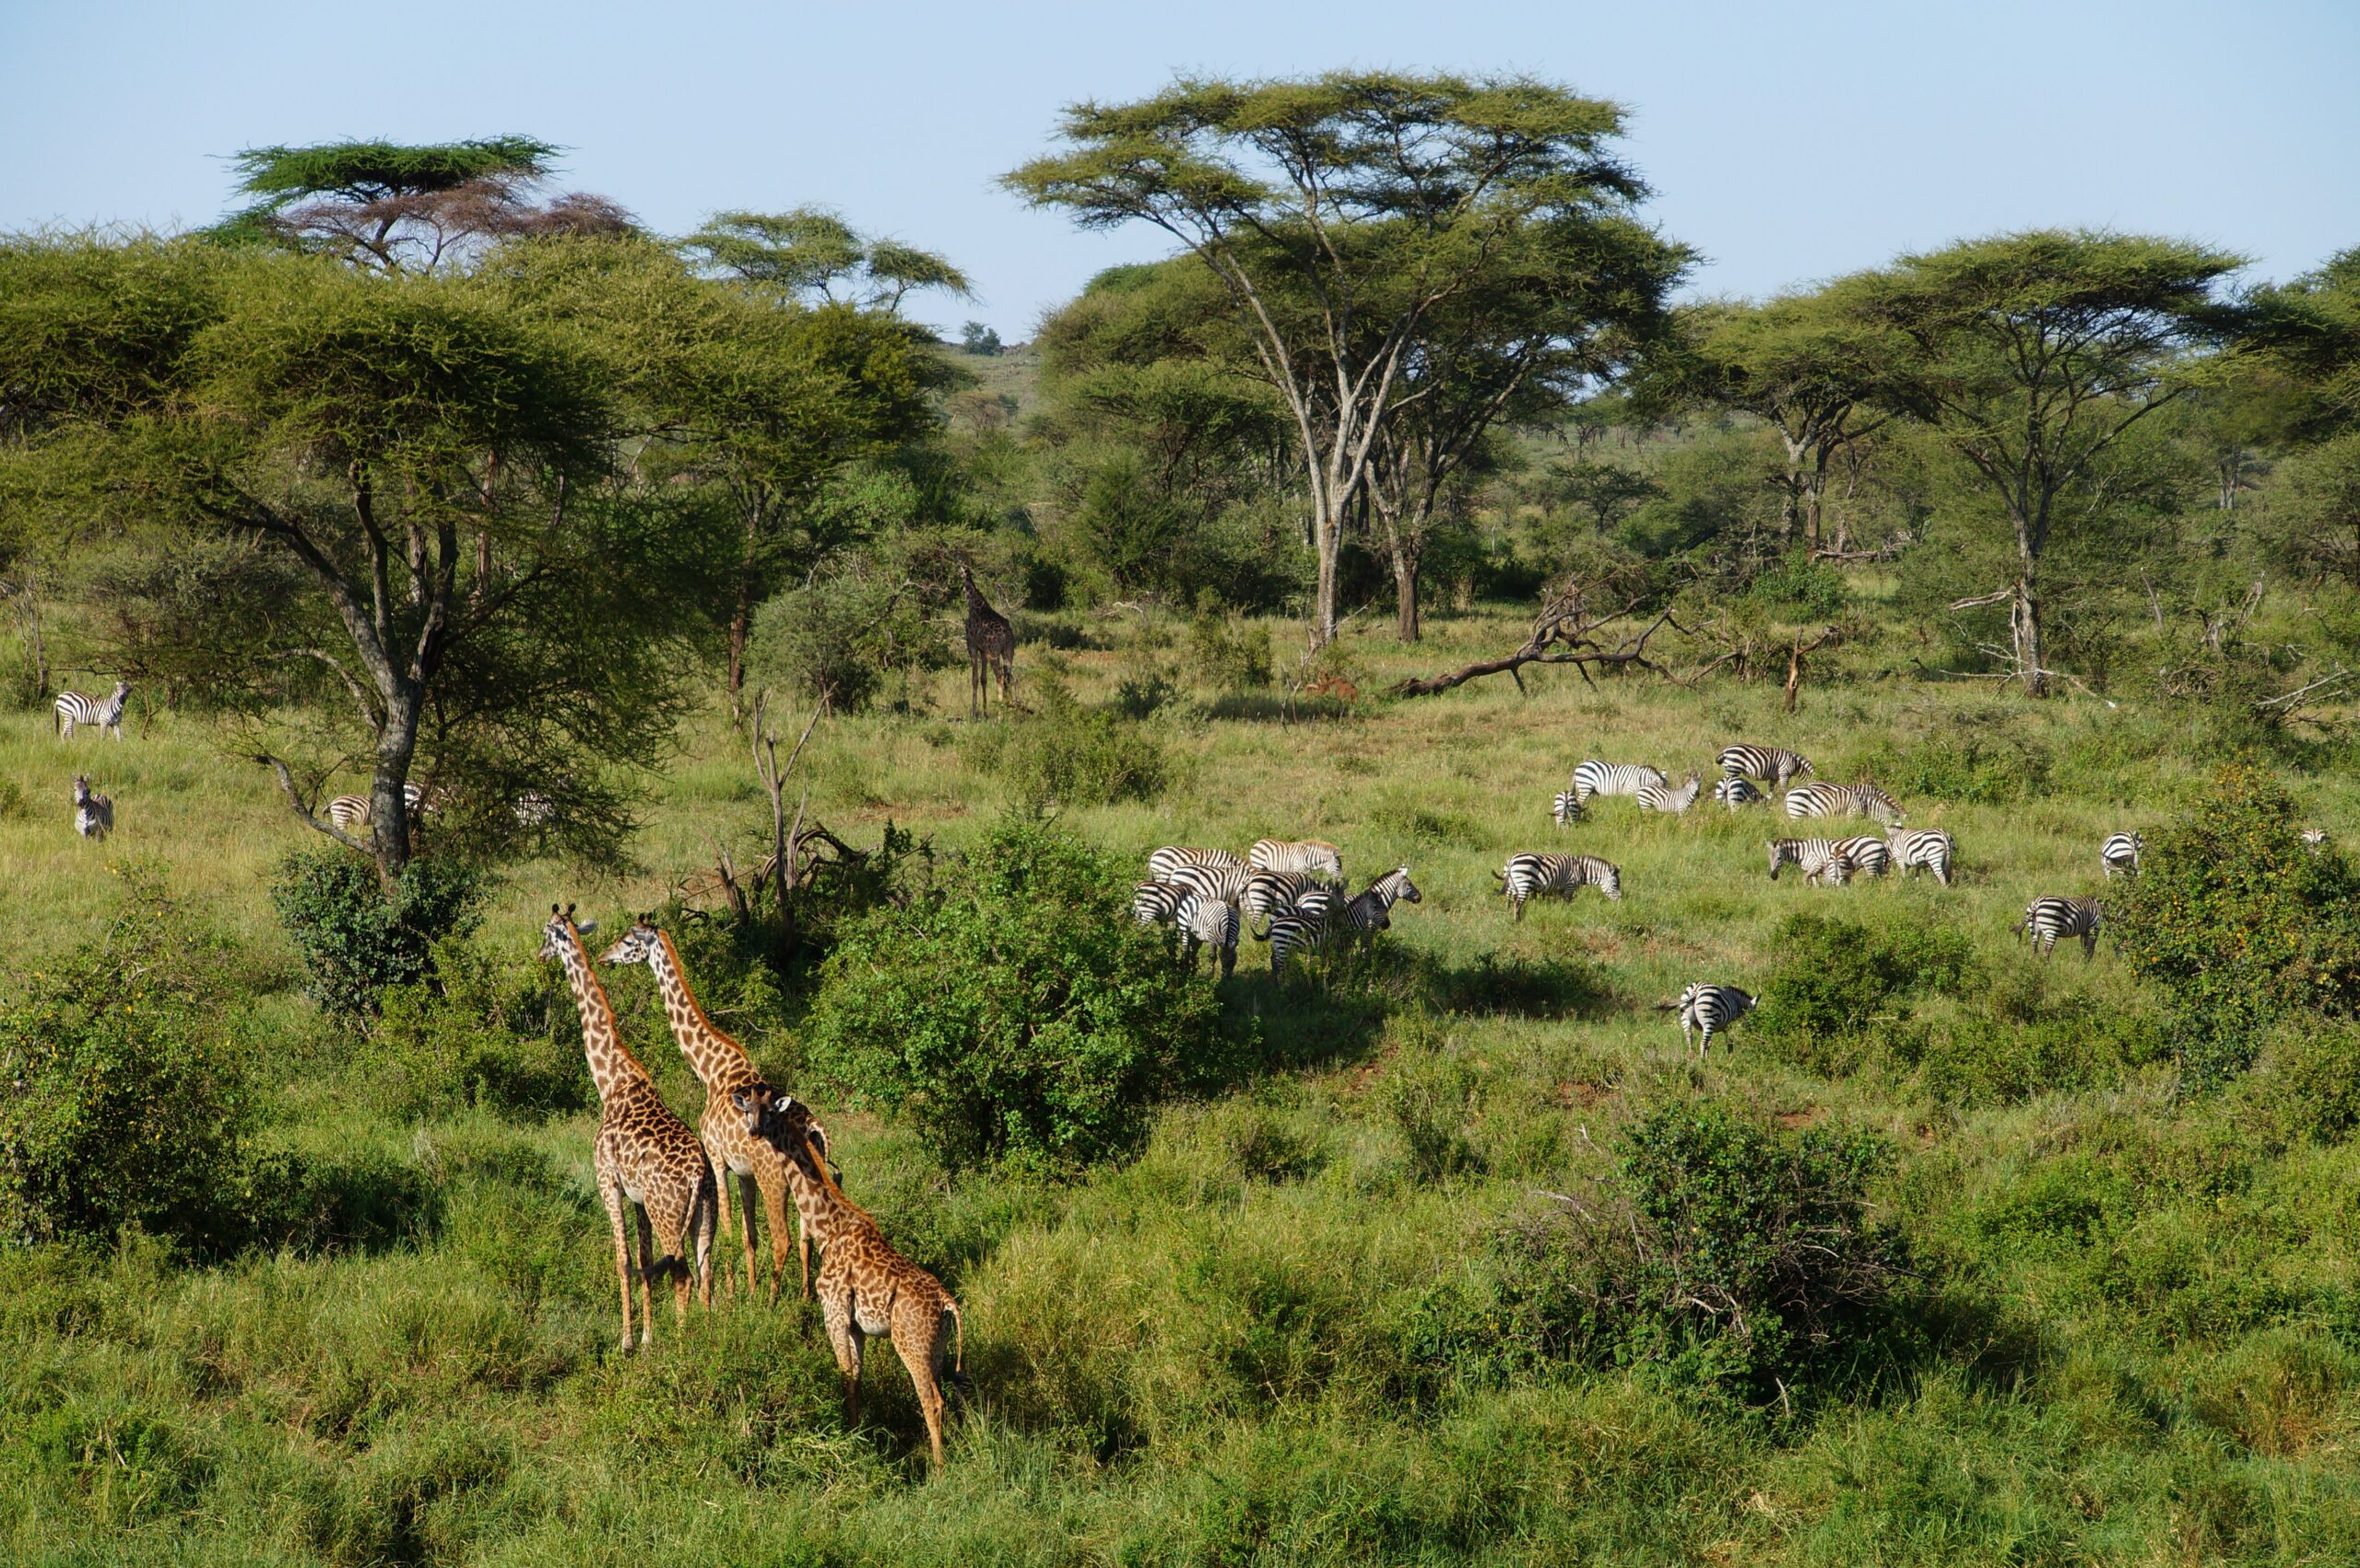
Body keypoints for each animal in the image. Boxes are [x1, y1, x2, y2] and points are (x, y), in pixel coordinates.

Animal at [538, 904, 717, 1352]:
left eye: (546, 934)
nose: (539, 954)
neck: (612, 1080)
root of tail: (698, 1174)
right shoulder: (637, 1197)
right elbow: (643, 1259)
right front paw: (650, 1336)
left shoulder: (608, 1183)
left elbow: (622, 1260)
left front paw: (627, 1342)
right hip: (704, 1215)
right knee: (704, 1272)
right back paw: (710, 1340)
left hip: (668, 1212)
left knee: (683, 1276)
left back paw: (684, 1349)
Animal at [600, 915, 831, 1302]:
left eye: (629, 940)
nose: (604, 957)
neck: (710, 1068)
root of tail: (813, 1128)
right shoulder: (743, 1172)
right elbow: (748, 1235)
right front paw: (747, 1289)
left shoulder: (718, 1157)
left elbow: (725, 1230)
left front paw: (732, 1295)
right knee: (807, 1237)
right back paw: (803, 1297)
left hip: (775, 1180)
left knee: (783, 1238)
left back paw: (773, 1303)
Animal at [732, 1082, 966, 1468]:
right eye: (747, 1109)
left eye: (769, 1112)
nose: (753, 1132)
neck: (829, 1226)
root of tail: (948, 1304)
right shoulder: (856, 1326)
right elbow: (856, 1380)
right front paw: (857, 1435)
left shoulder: (834, 1313)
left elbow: (844, 1376)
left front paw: (847, 1441)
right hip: (938, 1347)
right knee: (948, 1396)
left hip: (911, 1345)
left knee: (932, 1400)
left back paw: (939, 1468)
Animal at [958, 561, 1015, 717]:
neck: (973, 602)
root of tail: (1006, 635)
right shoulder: (983, 651)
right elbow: (984, 679)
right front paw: (984, 712)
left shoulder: (971, 645)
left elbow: (974, 679)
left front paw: (974, 714)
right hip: (1008, 652)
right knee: (1010, 678)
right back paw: (1012, 711)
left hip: (994, 655)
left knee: (1000, 679)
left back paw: (1001, 716)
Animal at [1494, 853, 1622, 920]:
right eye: (1615, 885)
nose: (1620, 902)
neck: (1581, 870)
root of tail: (1512, 860)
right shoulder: (1570, 885)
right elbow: (1567, 903)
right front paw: (1567, 915)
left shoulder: (1560, 889)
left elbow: (1558, 902)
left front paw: (1557, 913)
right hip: (1523, 883)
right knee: (1517, 903)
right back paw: (1518, 921)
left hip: (1513, 884)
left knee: (1510, 899)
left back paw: (1508, 913)